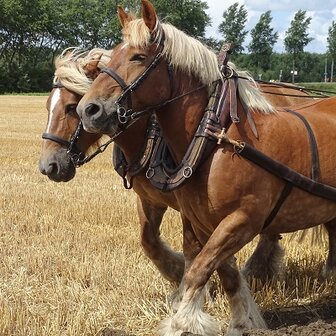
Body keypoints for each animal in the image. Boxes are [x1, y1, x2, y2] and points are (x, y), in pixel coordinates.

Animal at [77, 1, 336, 334]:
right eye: (114, 54)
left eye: (138, 57)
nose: (88, 109)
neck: (214, 136)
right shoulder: (204, 222)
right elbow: (227, 275)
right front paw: (242, 322)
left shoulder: (242, 220)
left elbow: (199, 270)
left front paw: (182, 322)